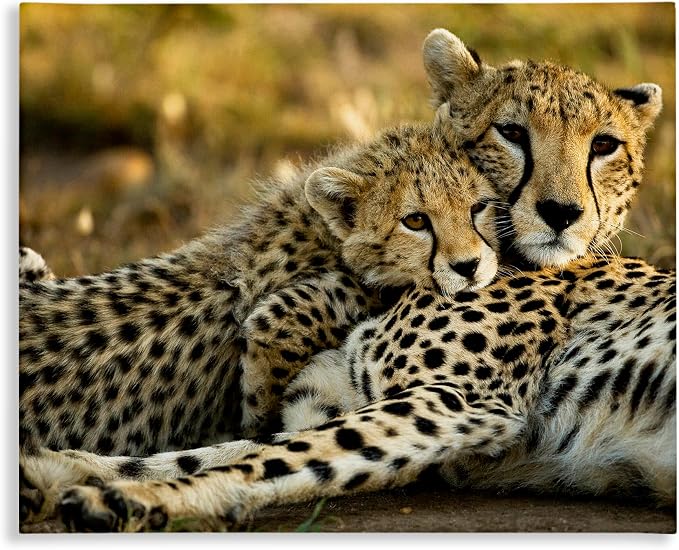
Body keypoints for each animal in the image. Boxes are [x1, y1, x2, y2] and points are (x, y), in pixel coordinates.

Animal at [19, 113, 500, 461]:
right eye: (415, 220)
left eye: (479, 206)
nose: (469, 266)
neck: (321, 229)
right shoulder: (289, 312)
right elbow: (267, 377)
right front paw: (258, 424)